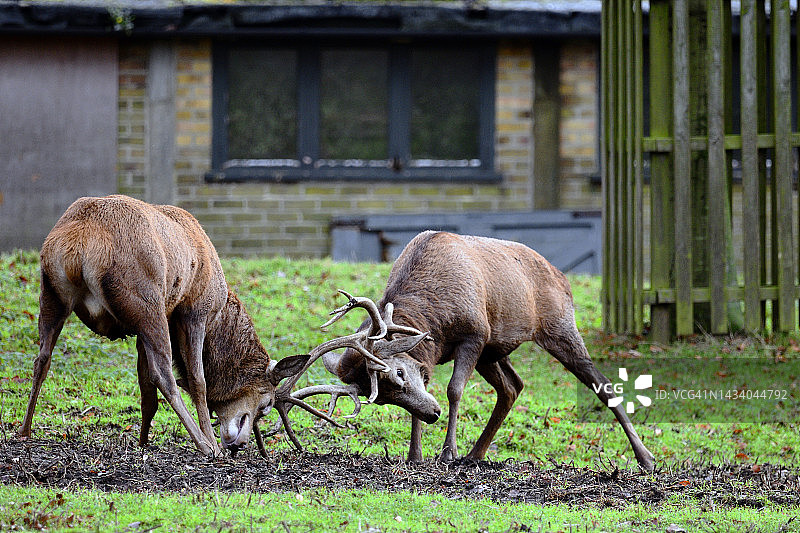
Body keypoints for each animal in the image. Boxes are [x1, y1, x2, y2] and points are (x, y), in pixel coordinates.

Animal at [17, 194, 373, 457]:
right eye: (267, 403)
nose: (239, 444)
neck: (221, 313)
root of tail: (79, 241)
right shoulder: (192, 311)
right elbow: (197, 379)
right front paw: (209, 438)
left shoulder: (143, 332)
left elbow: (145, 390)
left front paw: (143, 442)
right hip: (145, 300)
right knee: (166, 375)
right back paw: (204, 445)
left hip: (51, 293)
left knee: (41, 359)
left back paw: (23, 431)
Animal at [321, 230, 655, 471]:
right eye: (380, 397)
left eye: (398, 372)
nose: (433, 415)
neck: (434, 323)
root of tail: (563, 277)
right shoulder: (444, 352)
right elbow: (424, 396)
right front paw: (415, 454)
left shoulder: (475, 333)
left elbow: (454, 390)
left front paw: (447, 453)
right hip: (493, 352)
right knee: (513, 386)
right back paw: (476, 453)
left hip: (559, 327)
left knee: (602, 384)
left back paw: (647, 459)